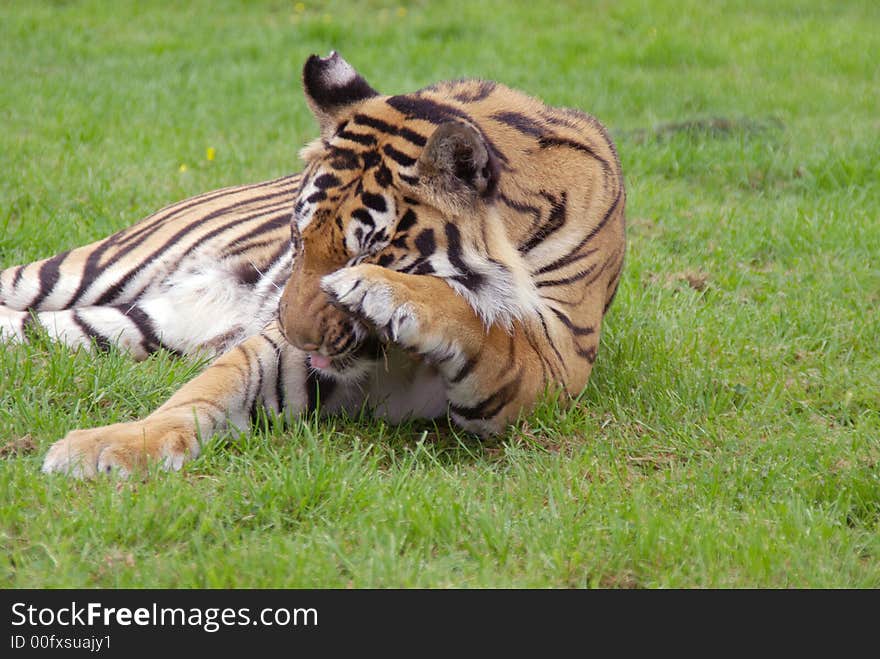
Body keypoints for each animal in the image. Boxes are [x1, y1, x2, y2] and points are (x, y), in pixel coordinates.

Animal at [3, 49, 628, 476]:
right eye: (298, 240)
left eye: (370, 250)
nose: (291, 328)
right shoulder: (285, 357)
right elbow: (206, 390)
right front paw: (112, 445)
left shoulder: (557, 357)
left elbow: (493, 331)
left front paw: (383, 289)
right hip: (91, 271)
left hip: (127, 326)